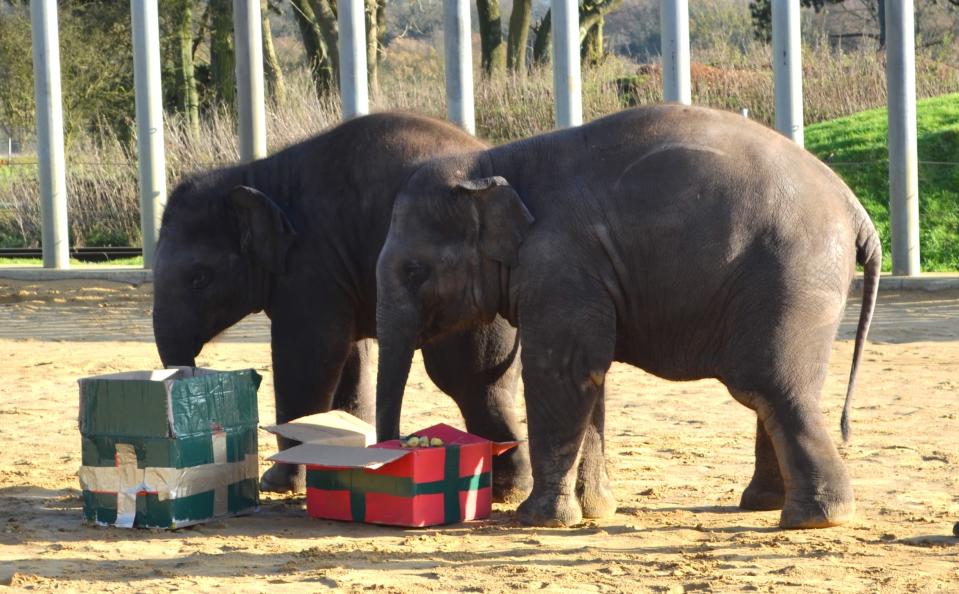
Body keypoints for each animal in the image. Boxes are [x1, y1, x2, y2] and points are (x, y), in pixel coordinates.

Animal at [154, 111, 536, 500]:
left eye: (199, 278)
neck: (258, 175)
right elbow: (349, 358)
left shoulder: (312, 267)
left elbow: (309, 357)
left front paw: (277, 483)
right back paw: (507, 488)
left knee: (468, 378)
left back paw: (505, 489)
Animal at [372, 103, 880, 528]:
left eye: (414, 271)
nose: (396, 450)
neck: (489, 164)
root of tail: (857, 210)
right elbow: (591, 377)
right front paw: (596, 511)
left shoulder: (560, 264)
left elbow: (563, 372)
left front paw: (540, 520)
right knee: (770, 393)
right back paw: (764, 504)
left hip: (790, 277)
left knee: (770, 385)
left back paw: (814, 519)